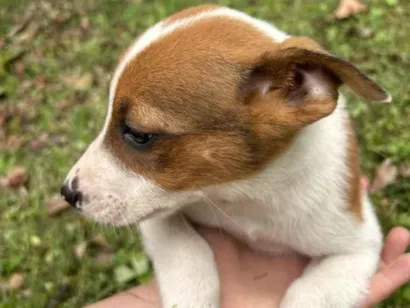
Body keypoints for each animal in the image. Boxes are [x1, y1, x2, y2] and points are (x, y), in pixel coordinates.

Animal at [60, 5, 390, 308]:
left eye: (138, 134)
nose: (66, 192)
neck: (244, 193)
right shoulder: (159, 211)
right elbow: (189, 251)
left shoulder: (357, 247)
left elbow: (306, 294)